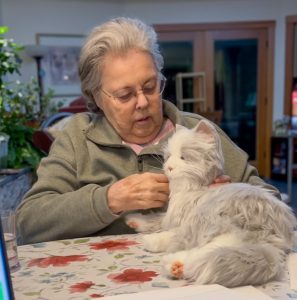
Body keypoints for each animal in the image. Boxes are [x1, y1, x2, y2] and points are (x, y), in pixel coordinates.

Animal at [125, 120, 296, 288]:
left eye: (183, 157)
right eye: (168, 156)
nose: (169, 167)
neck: (192, 189)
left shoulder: (187, 220)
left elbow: (170, 233)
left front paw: (149, 240)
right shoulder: (172, 217)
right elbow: (157, 219)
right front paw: (134, 221)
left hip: (218, 224)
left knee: (207, 251)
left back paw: (175, 264)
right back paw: (177, 267)